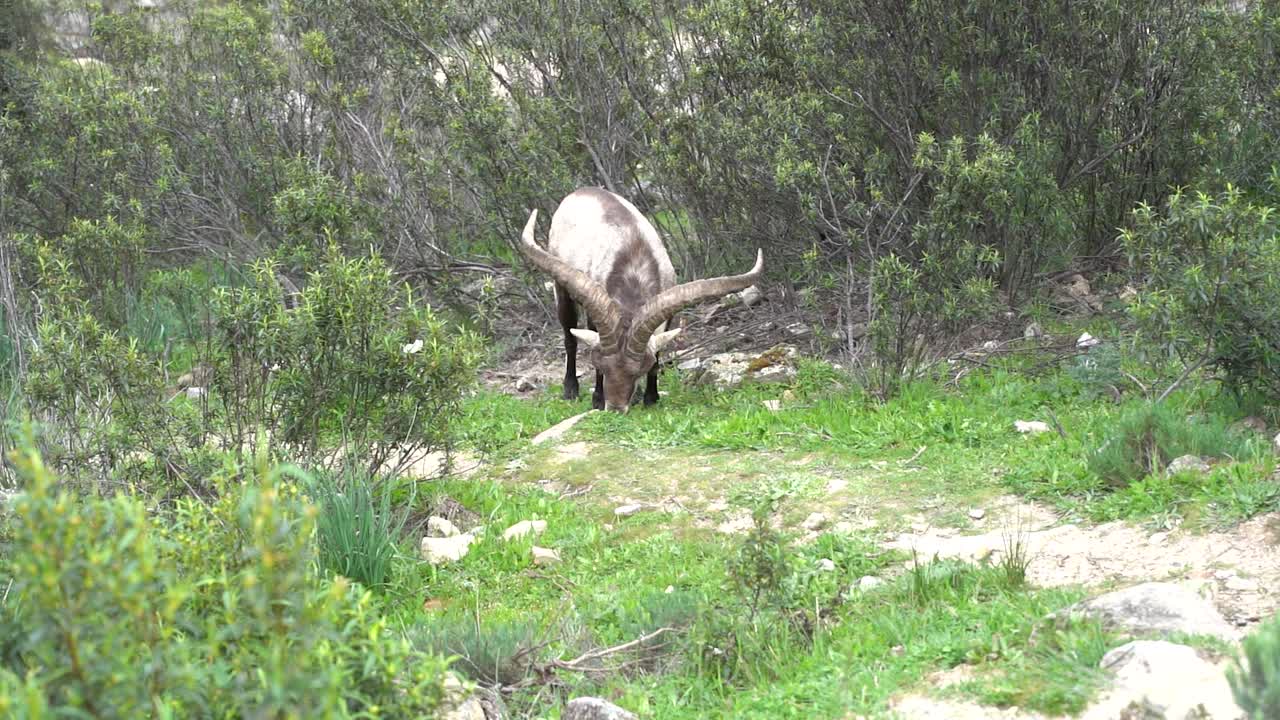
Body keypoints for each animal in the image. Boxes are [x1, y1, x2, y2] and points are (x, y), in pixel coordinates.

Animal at [518, 187, 763, 412]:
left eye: (638, 371)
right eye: (601, 366)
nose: (615, 408)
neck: (634, 263)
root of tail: (580, 191)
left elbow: (658, 351)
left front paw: (650, 398)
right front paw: (598, 398)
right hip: (561, 287)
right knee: (569, 335)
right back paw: (570, 389)